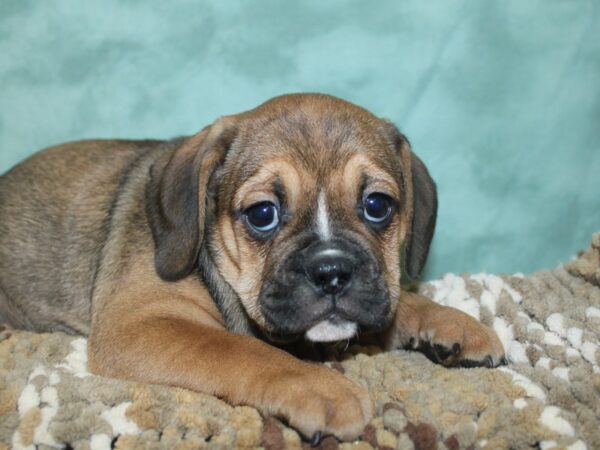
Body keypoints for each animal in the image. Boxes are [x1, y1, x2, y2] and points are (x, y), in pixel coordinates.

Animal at [0, 93, 506, 442]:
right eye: (263, 214)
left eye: (377, 206)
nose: (332, 271)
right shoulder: (139, 323)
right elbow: (240, 349)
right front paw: (322, 388)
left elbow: (398, 302)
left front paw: (451, 321)